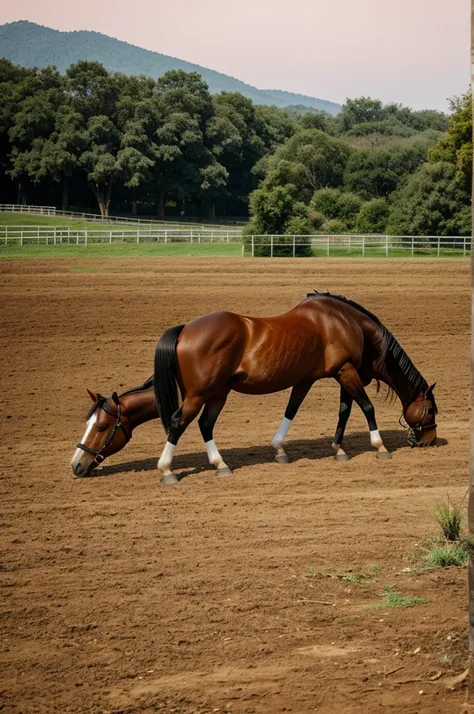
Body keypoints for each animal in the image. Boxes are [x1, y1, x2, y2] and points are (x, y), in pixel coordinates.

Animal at [153, 290, 436, 484]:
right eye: (431, 410)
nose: (429, 440)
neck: (344, 321)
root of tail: (185, 329)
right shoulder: (346, 371)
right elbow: (366, 407)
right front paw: (380, 447)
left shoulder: (312, 379)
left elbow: (316, 411)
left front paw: (329, 449)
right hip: (198, 394)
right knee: (178, 422)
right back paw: (167, 469)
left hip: (218, 393)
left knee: (205, 424)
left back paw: (220, 464)